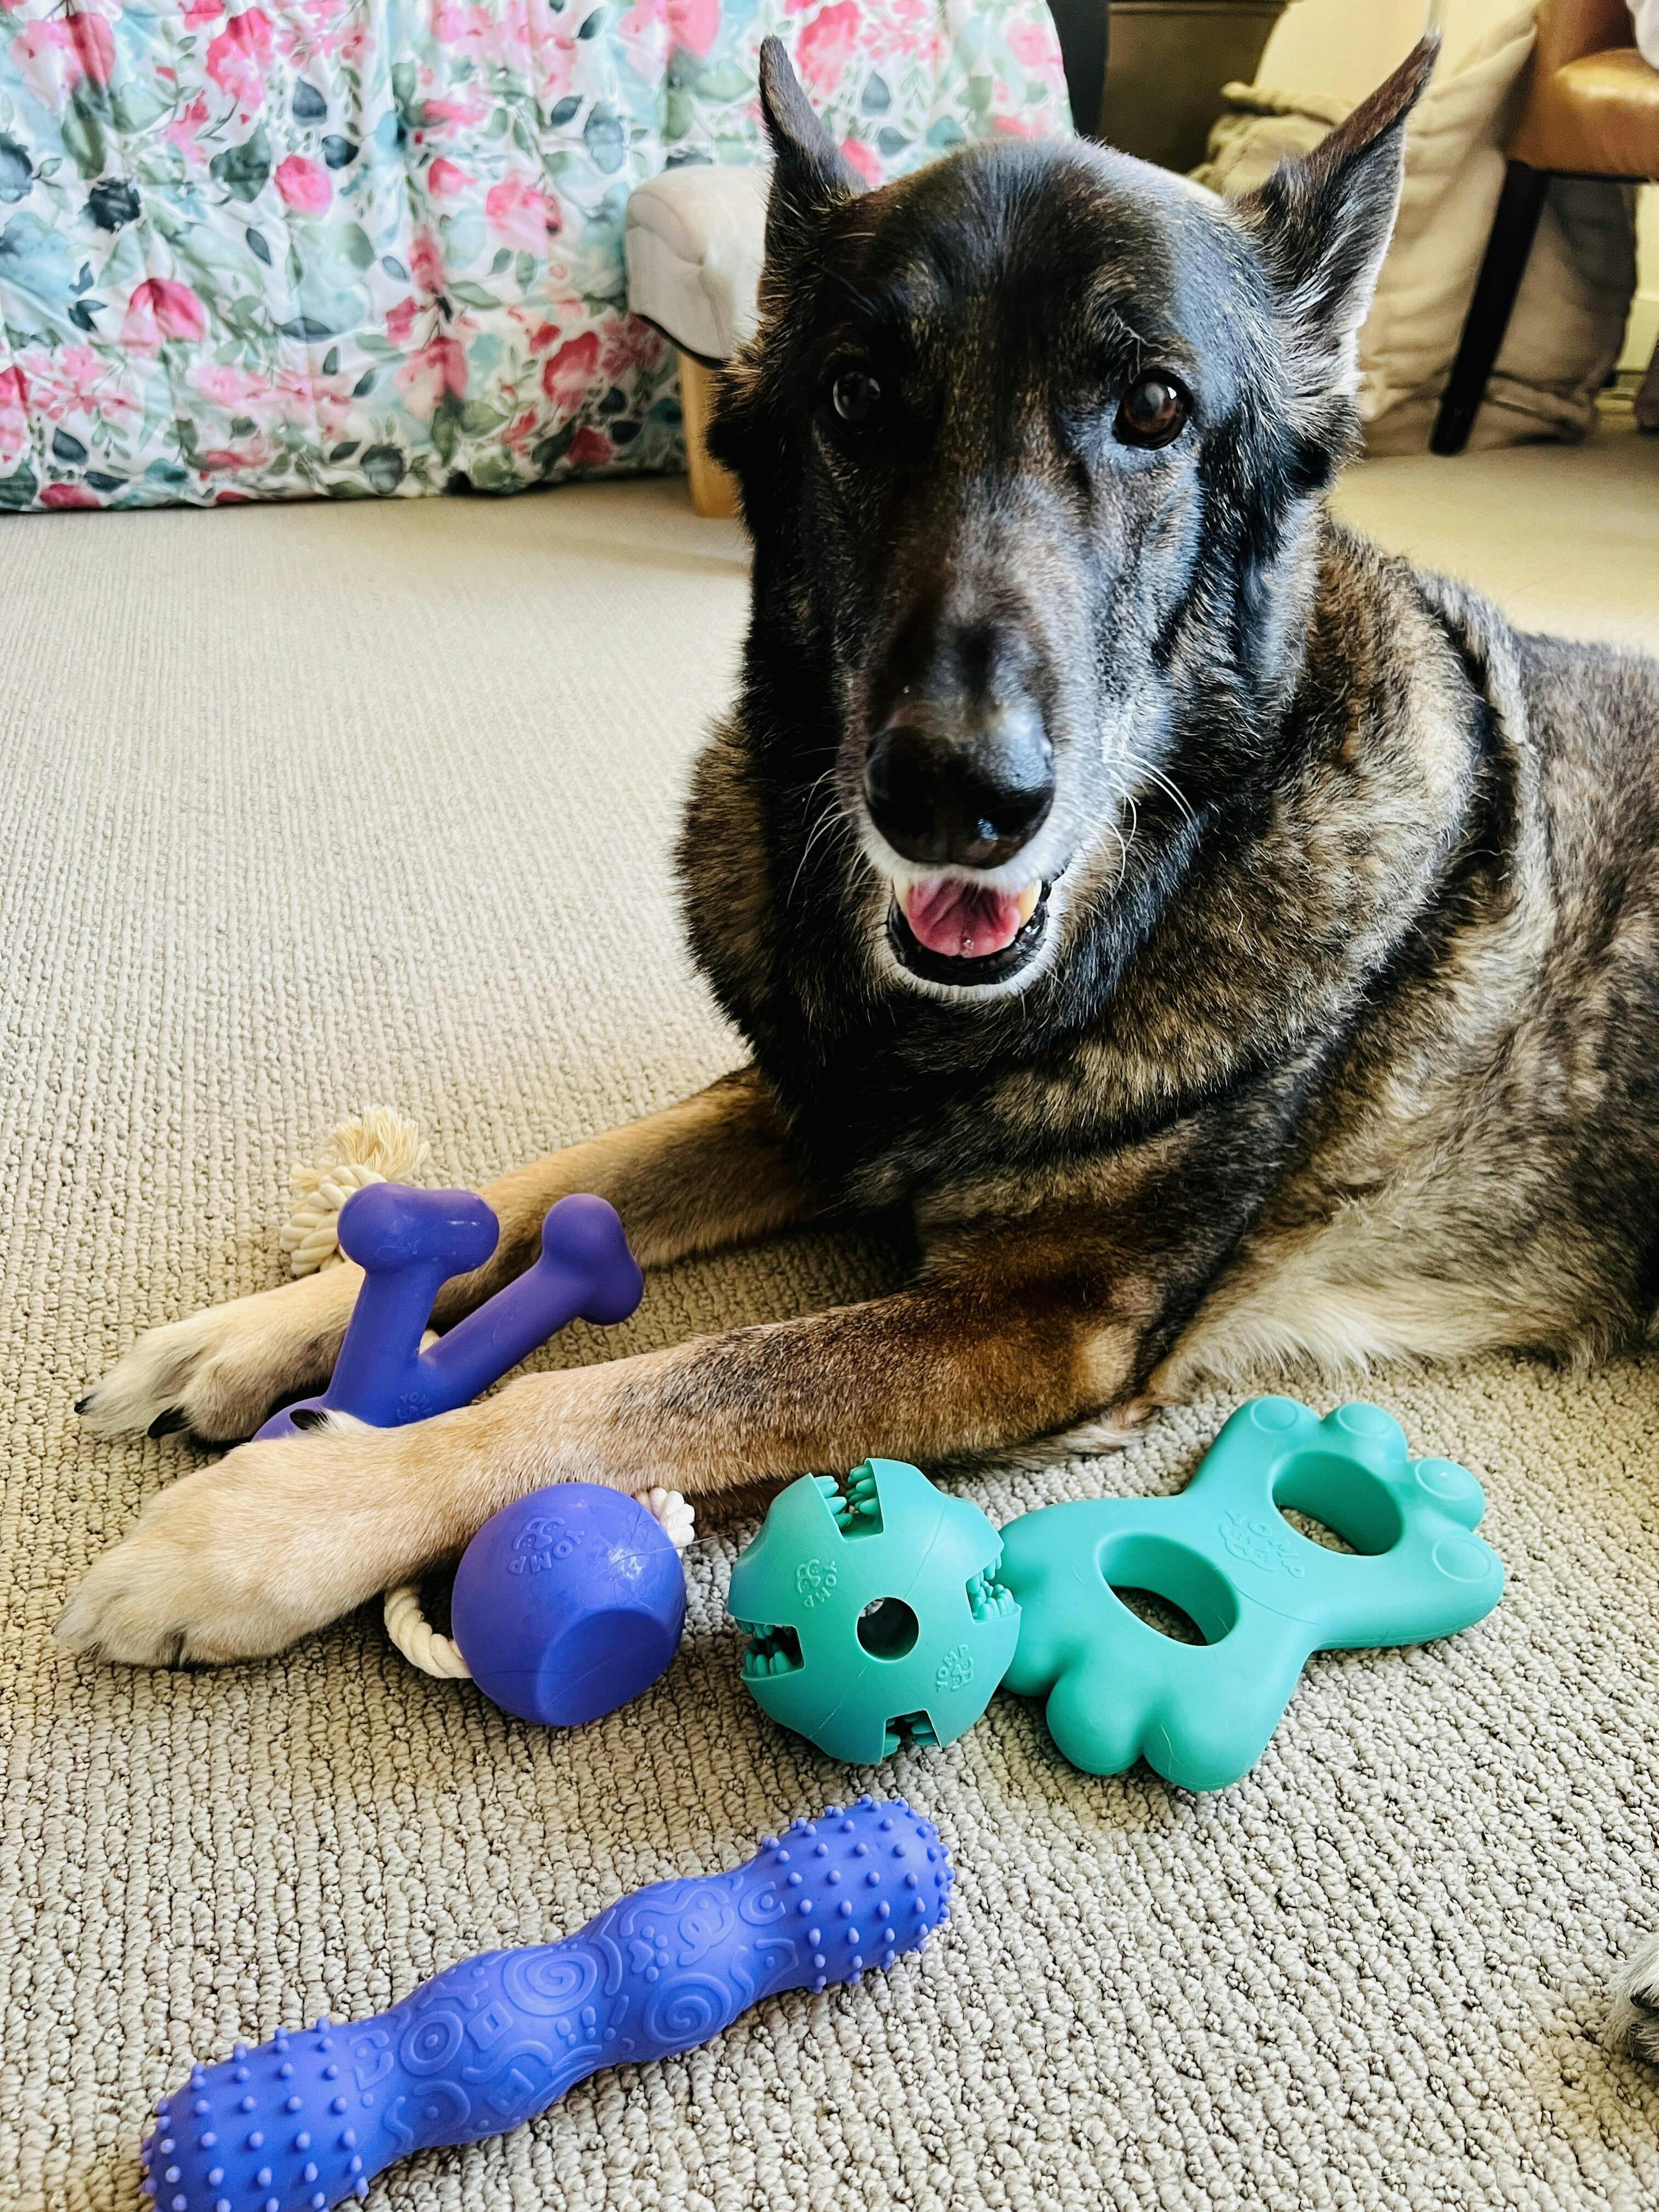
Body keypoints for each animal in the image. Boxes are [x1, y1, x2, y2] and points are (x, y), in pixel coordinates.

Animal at [58, 36, 1659, 2005]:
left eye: (1153, 408)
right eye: (855, 396)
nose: (958, 799)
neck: (1157, 879)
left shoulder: (1032, 1326)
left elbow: (637, 1384)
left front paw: (268, 1530)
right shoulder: (807, 1099)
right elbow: (559, 1184)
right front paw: (258, 1333)